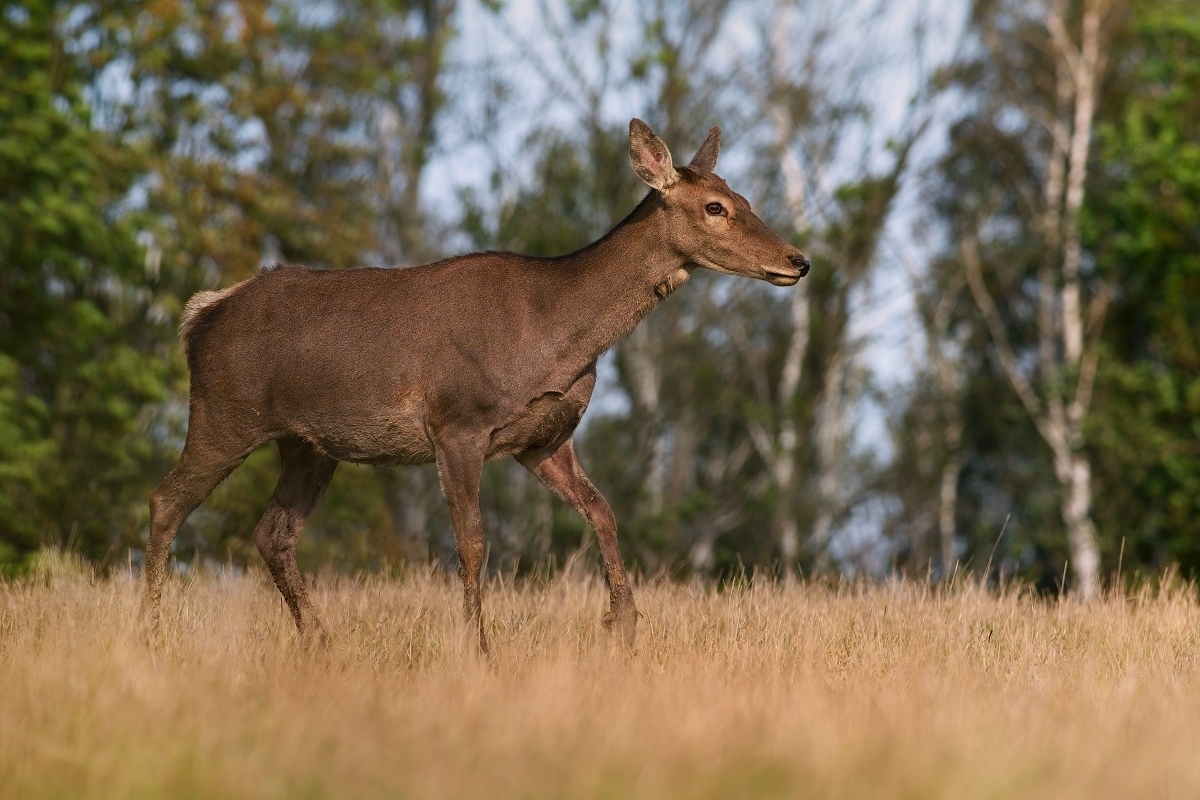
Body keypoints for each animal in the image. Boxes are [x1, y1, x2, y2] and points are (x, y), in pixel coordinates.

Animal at [145, 120, 811, 657]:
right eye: (716, 207)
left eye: (746, 197)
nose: (798, 260)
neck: (557, 335)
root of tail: (200, 316)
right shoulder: (457, 423)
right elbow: (473, 544)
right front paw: (480, 648)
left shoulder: (544, 439)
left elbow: (603, 510)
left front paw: (623, 623)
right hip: (224, 411)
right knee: (166, 500)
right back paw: (154, 628)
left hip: (307, 443)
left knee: (273, 533)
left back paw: (321, 642)